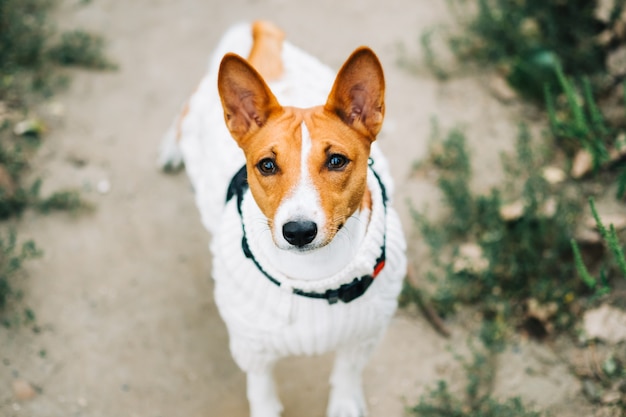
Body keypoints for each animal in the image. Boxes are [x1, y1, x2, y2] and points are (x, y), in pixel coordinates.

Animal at [158, 22, 408, 416]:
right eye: (267, 165)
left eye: (336, 160)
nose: (299, 231)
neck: (316, 277)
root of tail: (260, 43)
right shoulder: (252, 347)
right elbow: (262, 390)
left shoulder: (364, 335)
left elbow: (347, 372)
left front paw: (345, 404)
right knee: (182, 113)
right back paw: (171, 147)